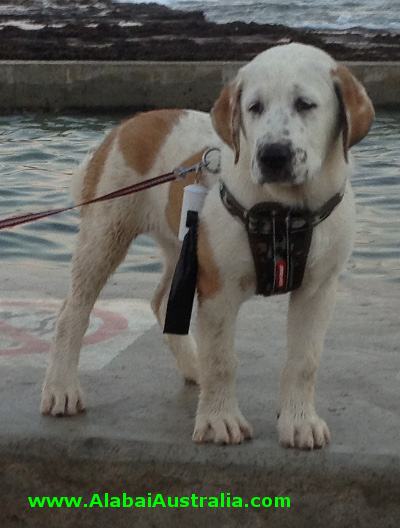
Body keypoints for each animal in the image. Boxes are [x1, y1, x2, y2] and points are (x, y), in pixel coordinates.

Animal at [41, 45, 376, 448]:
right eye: (254, 107)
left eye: (305, 104)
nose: (272, 155)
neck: (283, 209)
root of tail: (128, 125)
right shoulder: (219, 289)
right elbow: (222, 360)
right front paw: (220, 420)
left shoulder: (318, 289)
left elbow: (304, 361)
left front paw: (299, 421)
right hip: (105, 234)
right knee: (72, 313)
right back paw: (61, 389)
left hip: (182, 245)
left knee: (162, 301)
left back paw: (192, 367)